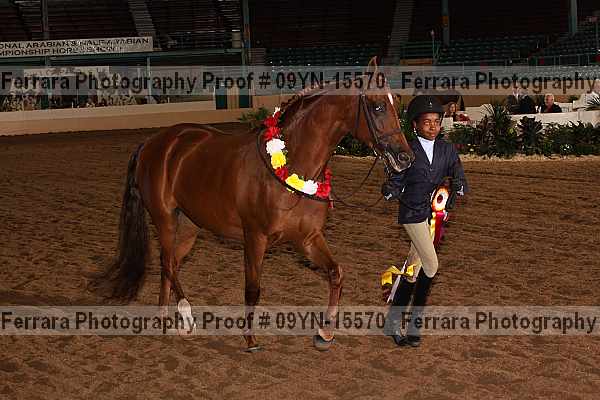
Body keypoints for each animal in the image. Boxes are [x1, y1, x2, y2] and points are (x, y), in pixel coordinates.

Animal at [97, 59, 415, 352]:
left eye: (395, 102)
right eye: (377, 106)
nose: (405, 157)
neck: (293, 165)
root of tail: (155, 142)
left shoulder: (308, 239)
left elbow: (336, 274)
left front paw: (324, 333)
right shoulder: (255, 238)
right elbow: (253, 289)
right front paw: (250, 339)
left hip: (189, 225)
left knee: (171, 263)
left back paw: (164, 317)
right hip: (165, 219)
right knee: (166, 262)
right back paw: (185, 313)